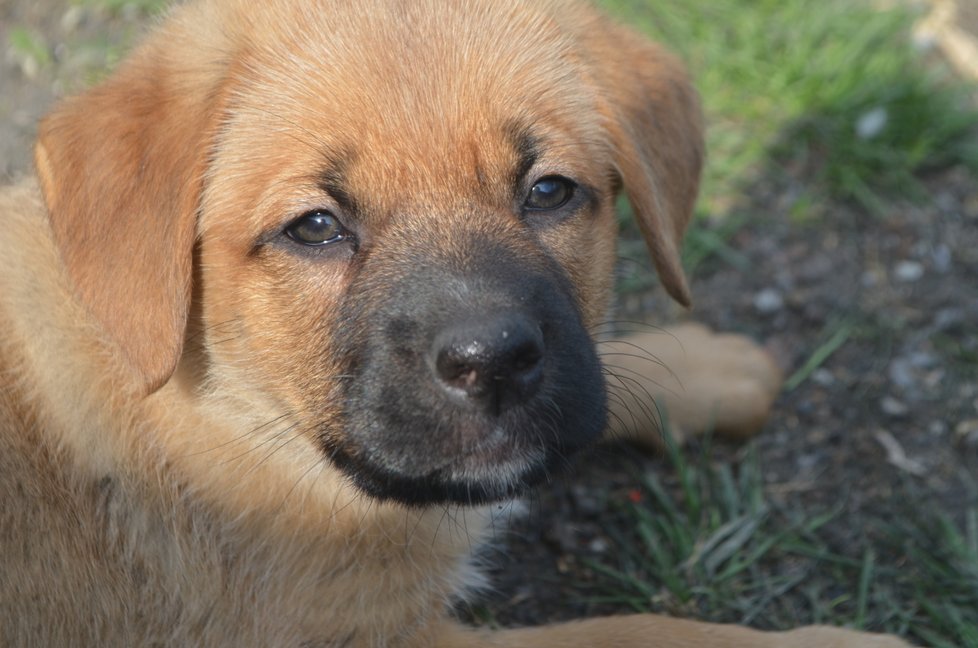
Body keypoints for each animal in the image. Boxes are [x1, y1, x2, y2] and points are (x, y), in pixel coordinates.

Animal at [0, 0, 908, 644]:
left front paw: (704, 366)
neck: (229, 420)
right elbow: (637, 632)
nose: (492, 361)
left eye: (549, 191)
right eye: (315, 227)